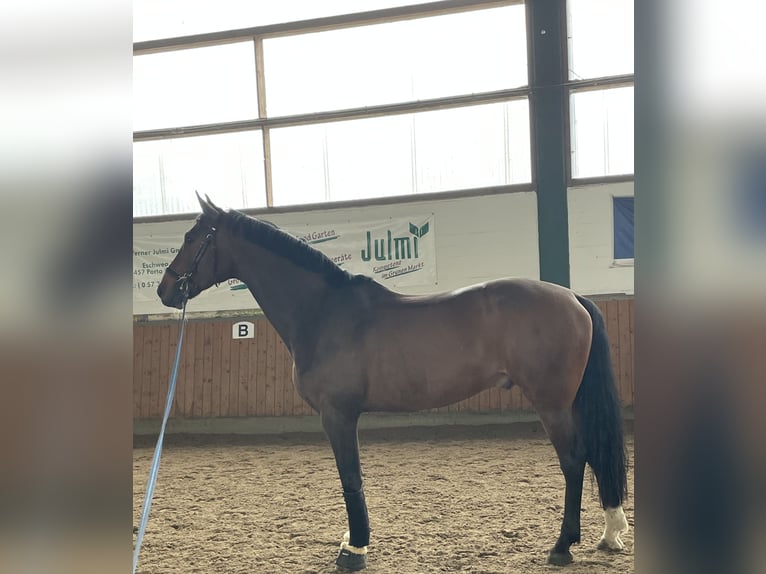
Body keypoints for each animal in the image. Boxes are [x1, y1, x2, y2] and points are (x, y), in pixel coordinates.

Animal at [156, 193, 629, 570]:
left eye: (192, 238)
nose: (165, 290)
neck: (323, 311)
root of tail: (572, 297)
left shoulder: (337, 415)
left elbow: (350, 478)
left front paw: (354, 550)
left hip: (551, 403)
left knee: (574, 460)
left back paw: (563, 546)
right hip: (570, 402)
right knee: (594, 454)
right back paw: (609, 532)